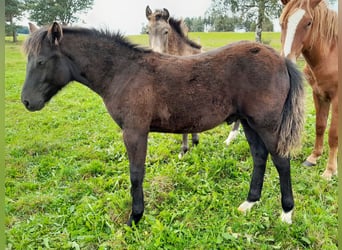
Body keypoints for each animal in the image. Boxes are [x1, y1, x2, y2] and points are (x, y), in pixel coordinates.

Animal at [22, 22, 304, 226]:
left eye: (41, 61)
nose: (26, 101)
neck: (123, 72)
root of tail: (280, 59)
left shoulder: (135, 132)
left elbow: (136, 174)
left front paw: (135, 218)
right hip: (248, 122)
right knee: (259, 156)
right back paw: (250, 203)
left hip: (266, 124)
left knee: (281, 161)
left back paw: (286, 213)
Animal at [280, 0, 338, 180]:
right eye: (282, 22)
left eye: (309, 23)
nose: (287, 63)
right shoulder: (318, 94)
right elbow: (320, 126)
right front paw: (313, 158)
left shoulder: (337, 99)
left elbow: (333, 134)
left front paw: (330, 170)